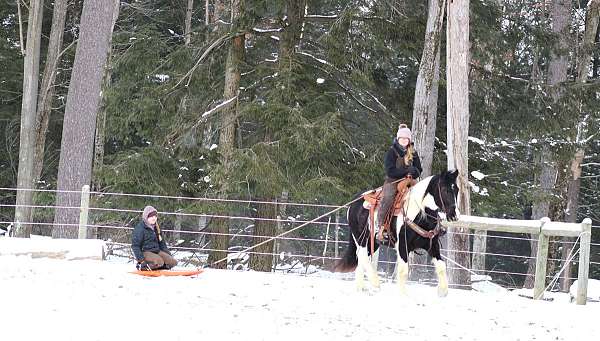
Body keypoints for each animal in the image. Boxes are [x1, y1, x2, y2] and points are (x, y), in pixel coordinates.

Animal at [332, 170, 460, 294]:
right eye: (445, 190)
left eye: (457, 190)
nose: (455, 215)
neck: (418, 214)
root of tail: (354, 202)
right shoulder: (403, 246)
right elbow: (403, 271)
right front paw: (404, 295)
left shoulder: (432, 245)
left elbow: (441, 266)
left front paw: (442, 291)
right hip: (361, 239)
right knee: (363, 258)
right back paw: (375, 282)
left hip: (373, 242)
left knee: (361, 263)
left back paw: (361, 289)